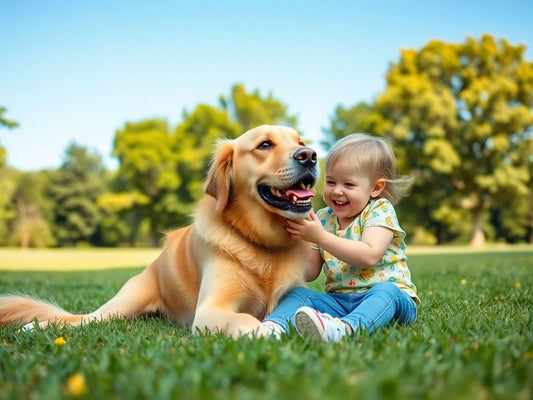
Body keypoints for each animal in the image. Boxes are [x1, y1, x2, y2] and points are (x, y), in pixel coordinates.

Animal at [0, 126, 316, 338]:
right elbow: (245, 320)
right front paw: (265, 331)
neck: (263, 243)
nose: (310, 155)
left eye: (300, 142)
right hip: (121, 304)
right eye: (264, 145)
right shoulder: (210, 309)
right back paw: (34, 326)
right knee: (82, 319)